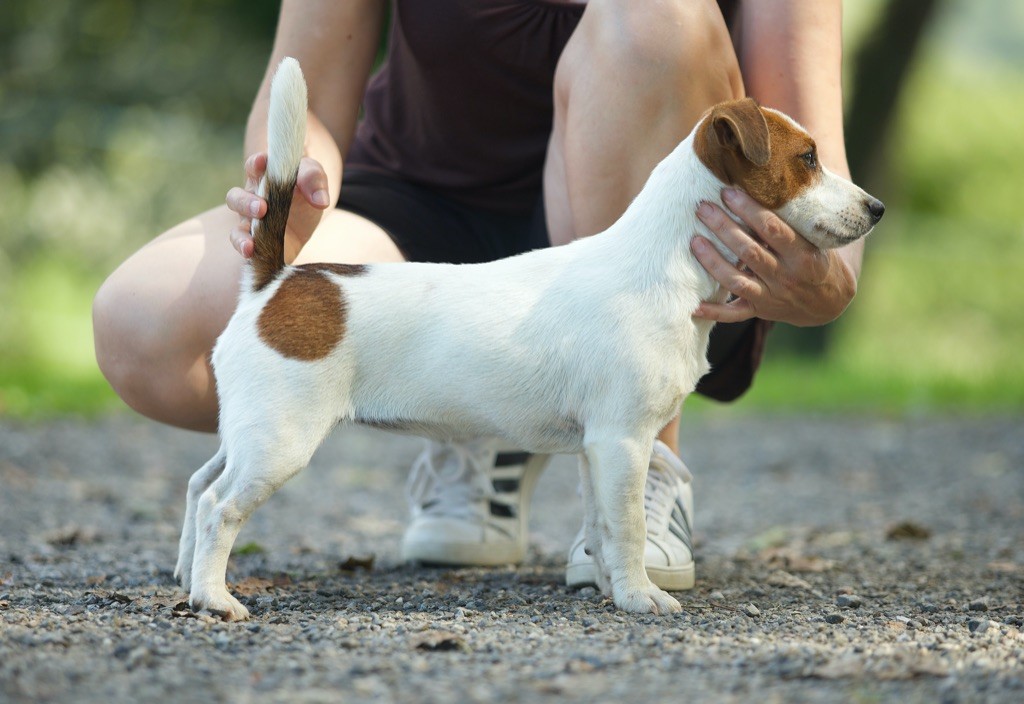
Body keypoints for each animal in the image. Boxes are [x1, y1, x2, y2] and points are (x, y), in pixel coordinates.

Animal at [174, 61, 880, 622]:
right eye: (808, 158)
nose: (876, 209)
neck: (663, 262)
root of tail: (276, 281)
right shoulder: (623, 441)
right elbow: (626, 527)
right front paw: (640, 597)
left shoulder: (599, 450)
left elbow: (602, 525)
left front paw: (609, 587)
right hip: (281, 440)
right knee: (218, 506)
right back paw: (215, 598)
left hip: (250, 430)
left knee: (197, 483)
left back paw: (185, 576)